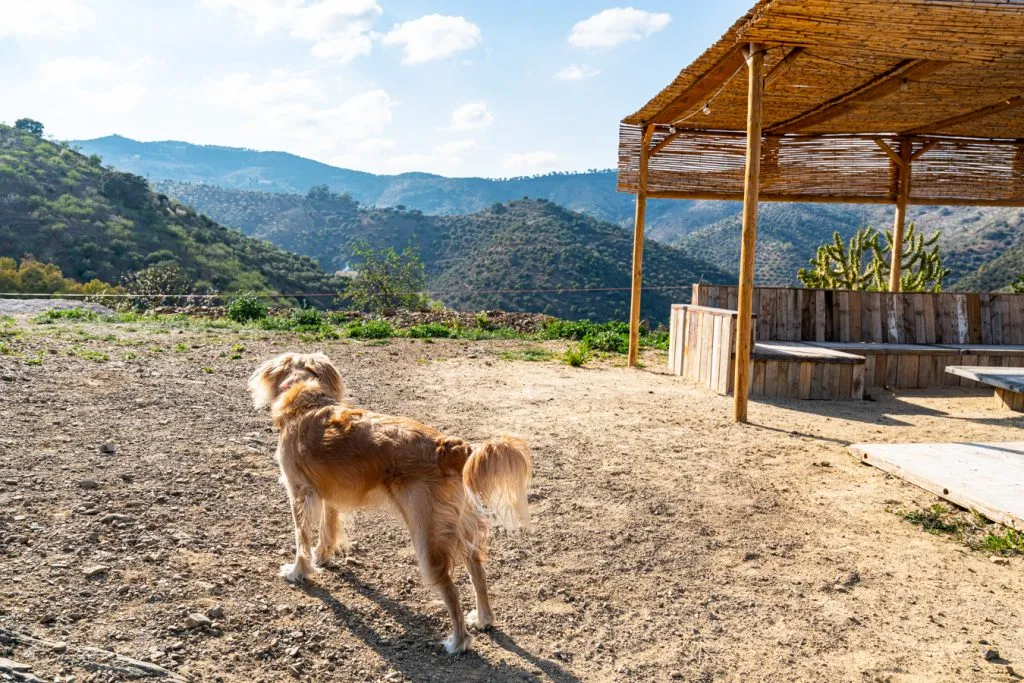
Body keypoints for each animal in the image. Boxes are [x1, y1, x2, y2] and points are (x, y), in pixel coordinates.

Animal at [248, 352, 532, 651]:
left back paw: (458, 642)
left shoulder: (299, 494)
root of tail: (451, 447)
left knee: (450, 588)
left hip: (427, 536)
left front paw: (297, 571)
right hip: (459, 525)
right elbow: (327, 532)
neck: (306, 401)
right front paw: (322, 557)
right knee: (477, 571)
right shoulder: (329, 495)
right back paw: (483, 618)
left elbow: (301, 540)